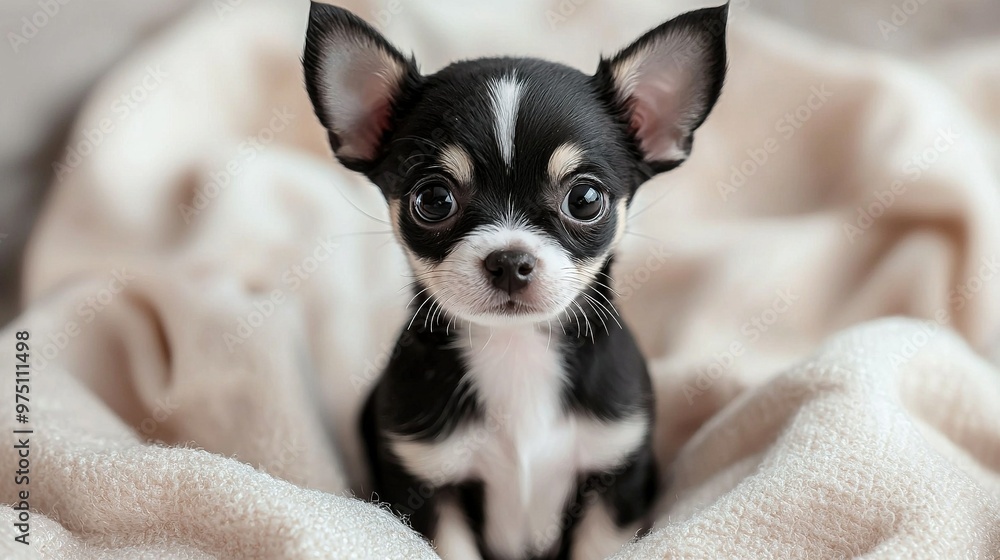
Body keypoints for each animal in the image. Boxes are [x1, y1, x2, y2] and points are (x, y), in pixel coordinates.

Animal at [298, 2, 728, 556]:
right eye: (433, 200)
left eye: (585, 199)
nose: (508, 260)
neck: (516, 348)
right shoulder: (429, 486)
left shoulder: (614, 481)